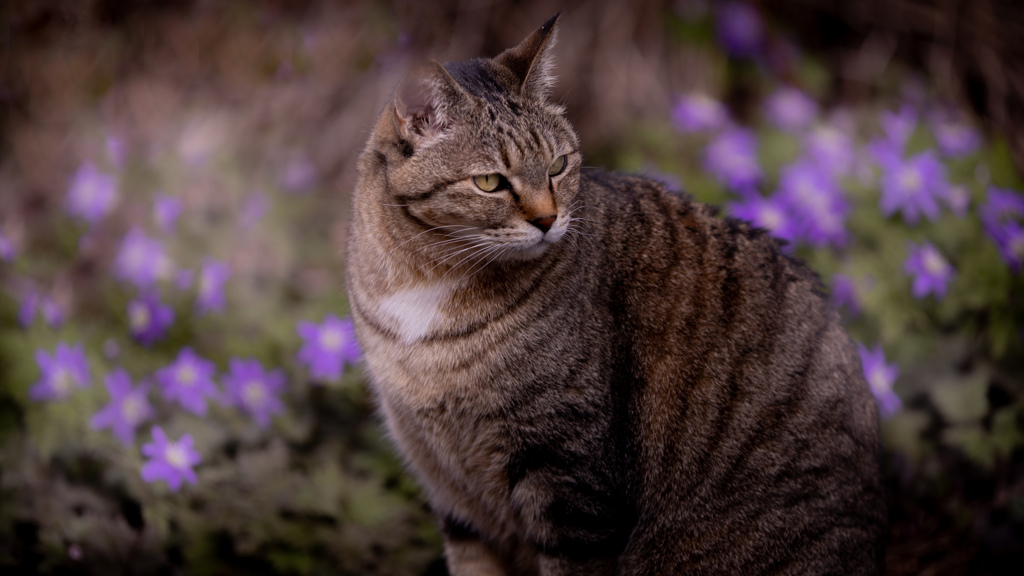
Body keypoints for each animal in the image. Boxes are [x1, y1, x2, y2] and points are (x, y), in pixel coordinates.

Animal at [346, 13, 888, 573]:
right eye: (490, 182)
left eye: (558, 165)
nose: (547, 220)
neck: (430, 282)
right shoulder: (454, 497)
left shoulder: (571, 488)